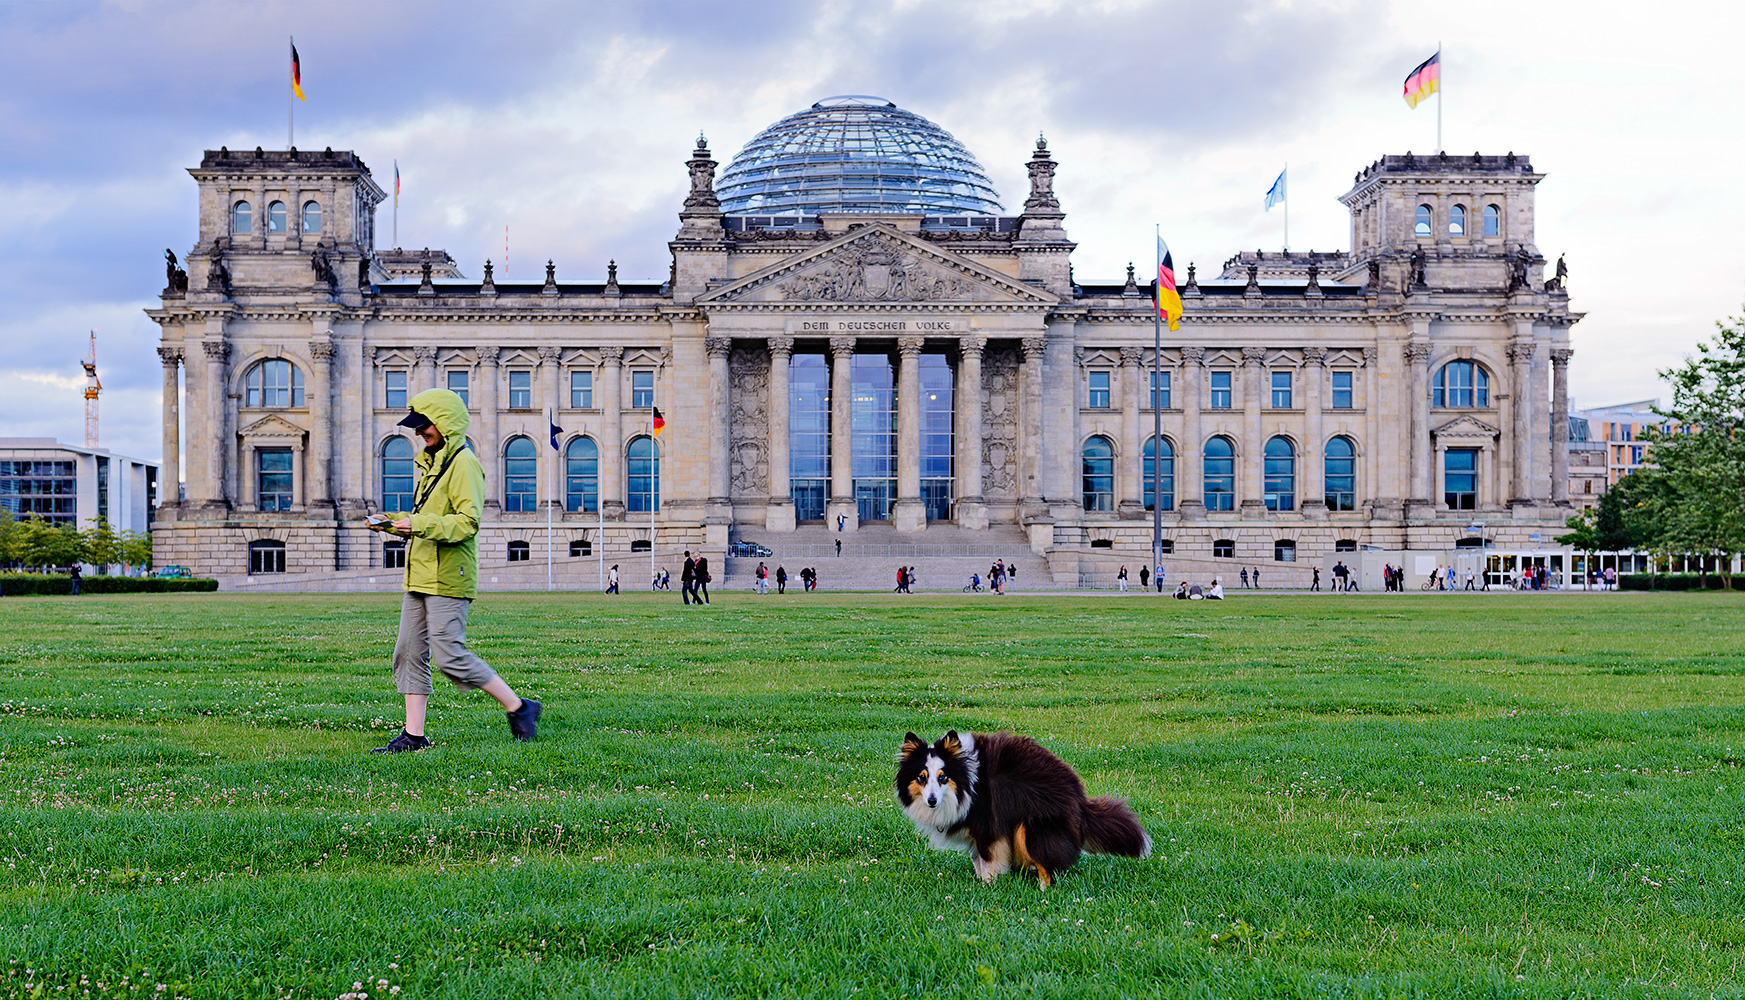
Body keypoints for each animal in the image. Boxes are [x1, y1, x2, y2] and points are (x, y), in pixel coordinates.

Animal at [893, 729, 1151, 886]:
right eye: (921, 777)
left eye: (943, 777)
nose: (932, 801)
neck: (967, 784)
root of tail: (1080, 802)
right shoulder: (976, 836)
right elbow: (977, 861)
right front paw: (979, 883)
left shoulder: (988, 826)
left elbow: (988, 862)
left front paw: (988, 887)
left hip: (1031, 827)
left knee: (1047, 865)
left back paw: (1043, 889)